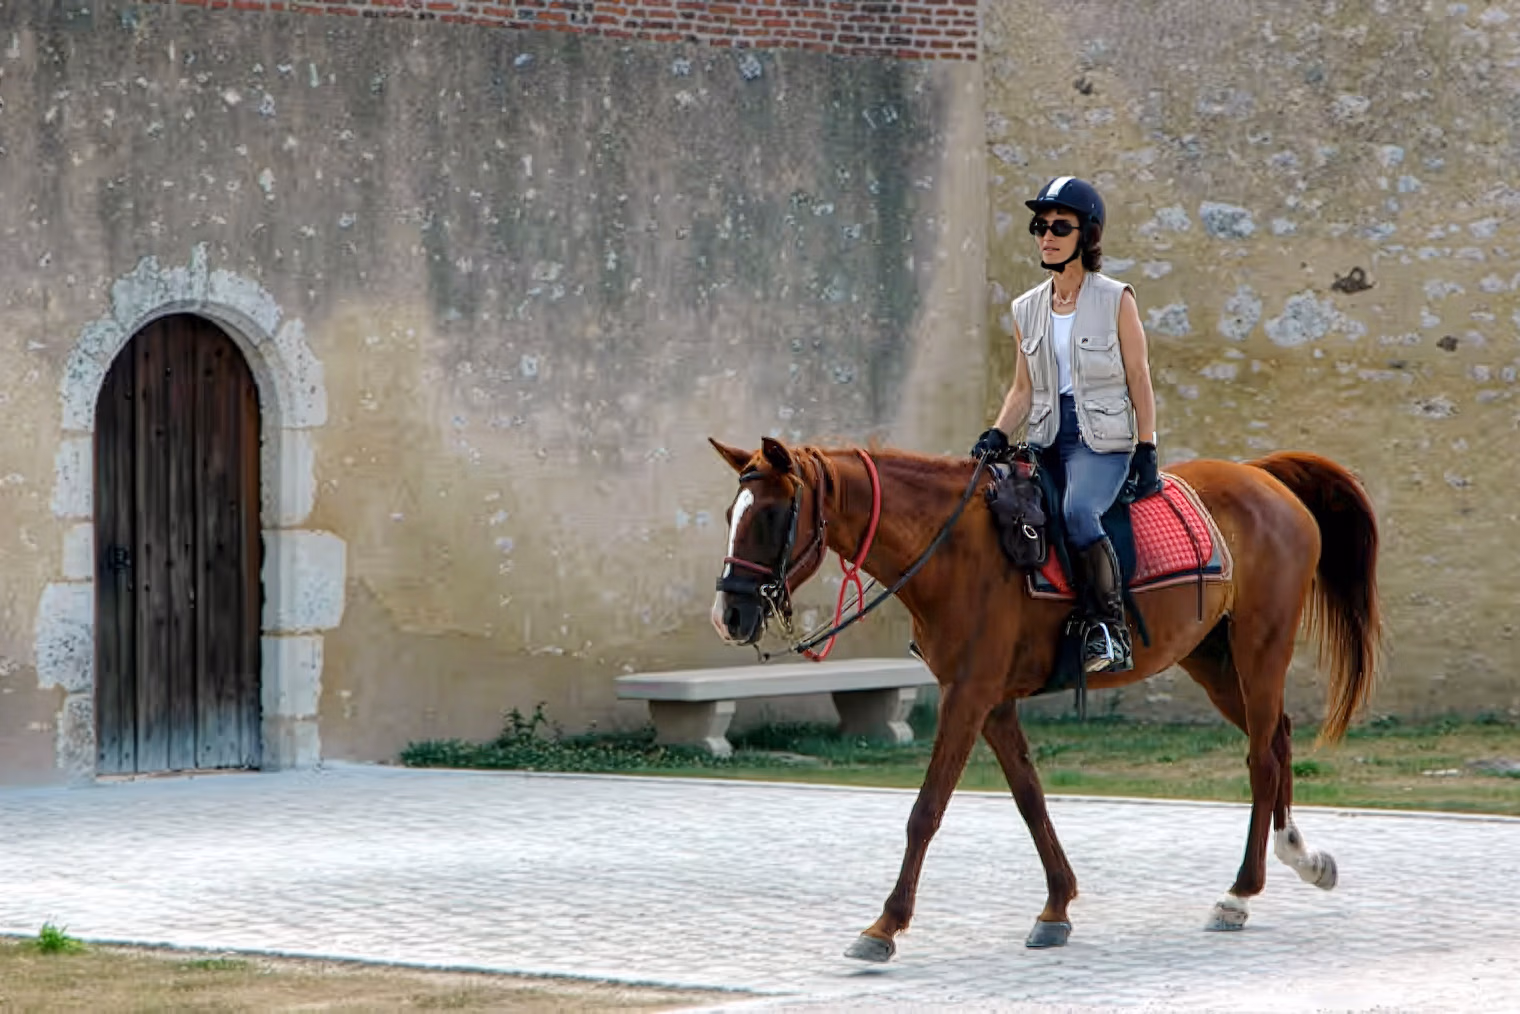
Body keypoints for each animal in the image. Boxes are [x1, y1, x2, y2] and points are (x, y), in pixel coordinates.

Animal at [706, 435, 1381, 957]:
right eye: (731, 513)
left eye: (771, 517)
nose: (729, 615)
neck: (952, 547)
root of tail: (1262, 477)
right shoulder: (992, 702)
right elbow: (1031, 799)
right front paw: (1057, 906)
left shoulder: (968, 695)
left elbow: (926, 812)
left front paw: (885, 925)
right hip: (1211, 658)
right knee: (1279, 736)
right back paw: (1299, 854)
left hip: (1260, 647)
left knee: (1261, 756)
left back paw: (1240, 892)